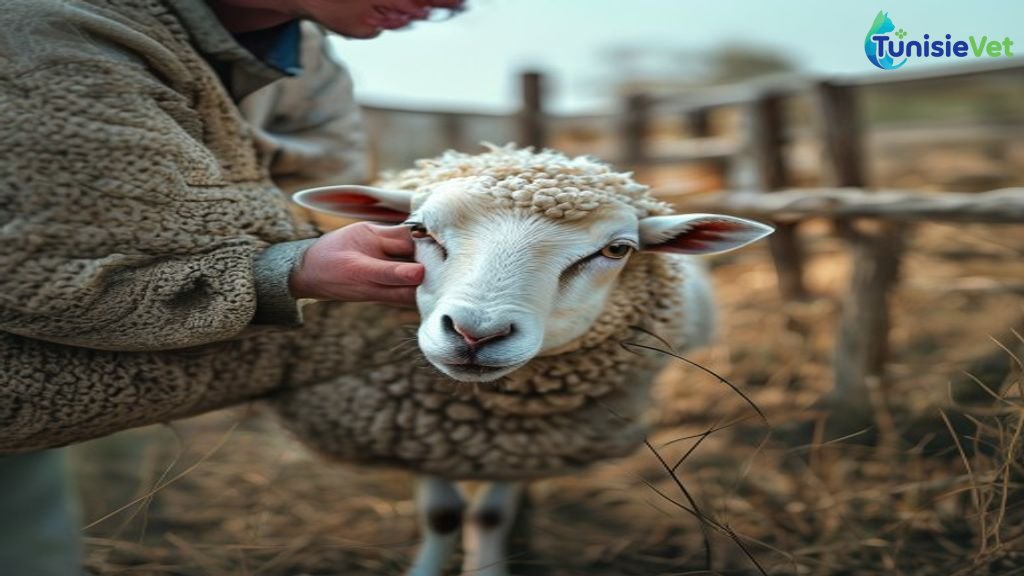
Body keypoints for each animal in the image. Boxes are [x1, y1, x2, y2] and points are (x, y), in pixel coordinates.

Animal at [272, 145, 772, 576]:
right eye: (416, 230)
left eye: (617, 250)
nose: (475, 334)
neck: (471, 421)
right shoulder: (416, 434)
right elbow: (442, 514)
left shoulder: (516, 445)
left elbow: (490, 516)